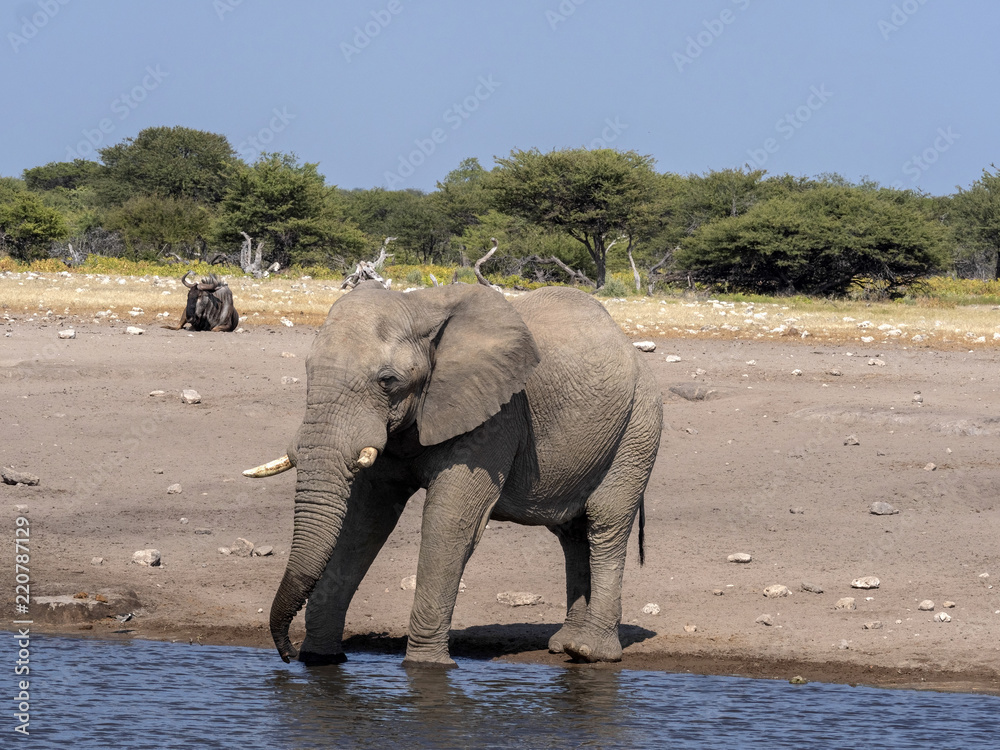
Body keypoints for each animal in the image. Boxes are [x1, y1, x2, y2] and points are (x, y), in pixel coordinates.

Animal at [245, 281, 662, 666]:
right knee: (572, 534)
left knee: (605, 525)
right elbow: (364, 521)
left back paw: (591, 652)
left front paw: (426, 668)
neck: (419, 307)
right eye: (308, 370)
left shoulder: (497, 413)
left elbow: (450, 521)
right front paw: (322, 661)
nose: (286, 653)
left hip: (639, 426)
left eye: (387, 381)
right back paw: (565, 646)